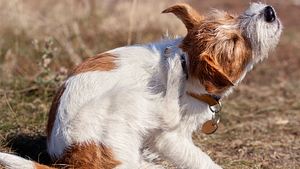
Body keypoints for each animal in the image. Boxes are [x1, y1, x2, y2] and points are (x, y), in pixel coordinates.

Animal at [0, 2, 282, 169]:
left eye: (231, 16)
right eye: (235, 42)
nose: (269, 11)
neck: (192, 69)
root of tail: (73, 160)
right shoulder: (170, 138)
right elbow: (200, 159)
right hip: (128, 98)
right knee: (166, 113)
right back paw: (173, 67)